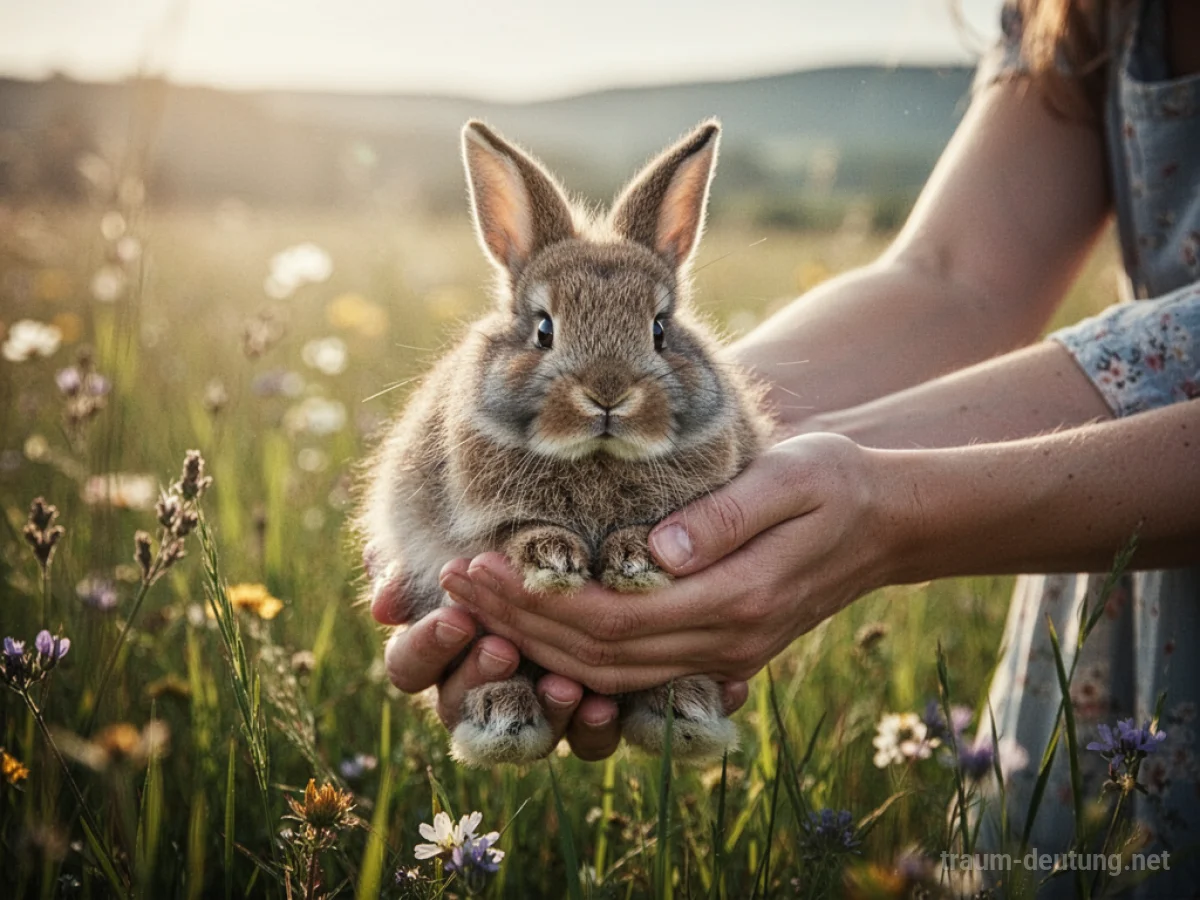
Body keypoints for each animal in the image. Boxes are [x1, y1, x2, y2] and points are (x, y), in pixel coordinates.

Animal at [357, 118, 773, 768]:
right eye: (544, 329)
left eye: (660, 329)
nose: (607, 393)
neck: (596, 457)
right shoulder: (472, 533)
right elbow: (514, 533)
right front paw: (554, 558)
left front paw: (636, 557)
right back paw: (502, 723)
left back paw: (686, 716)